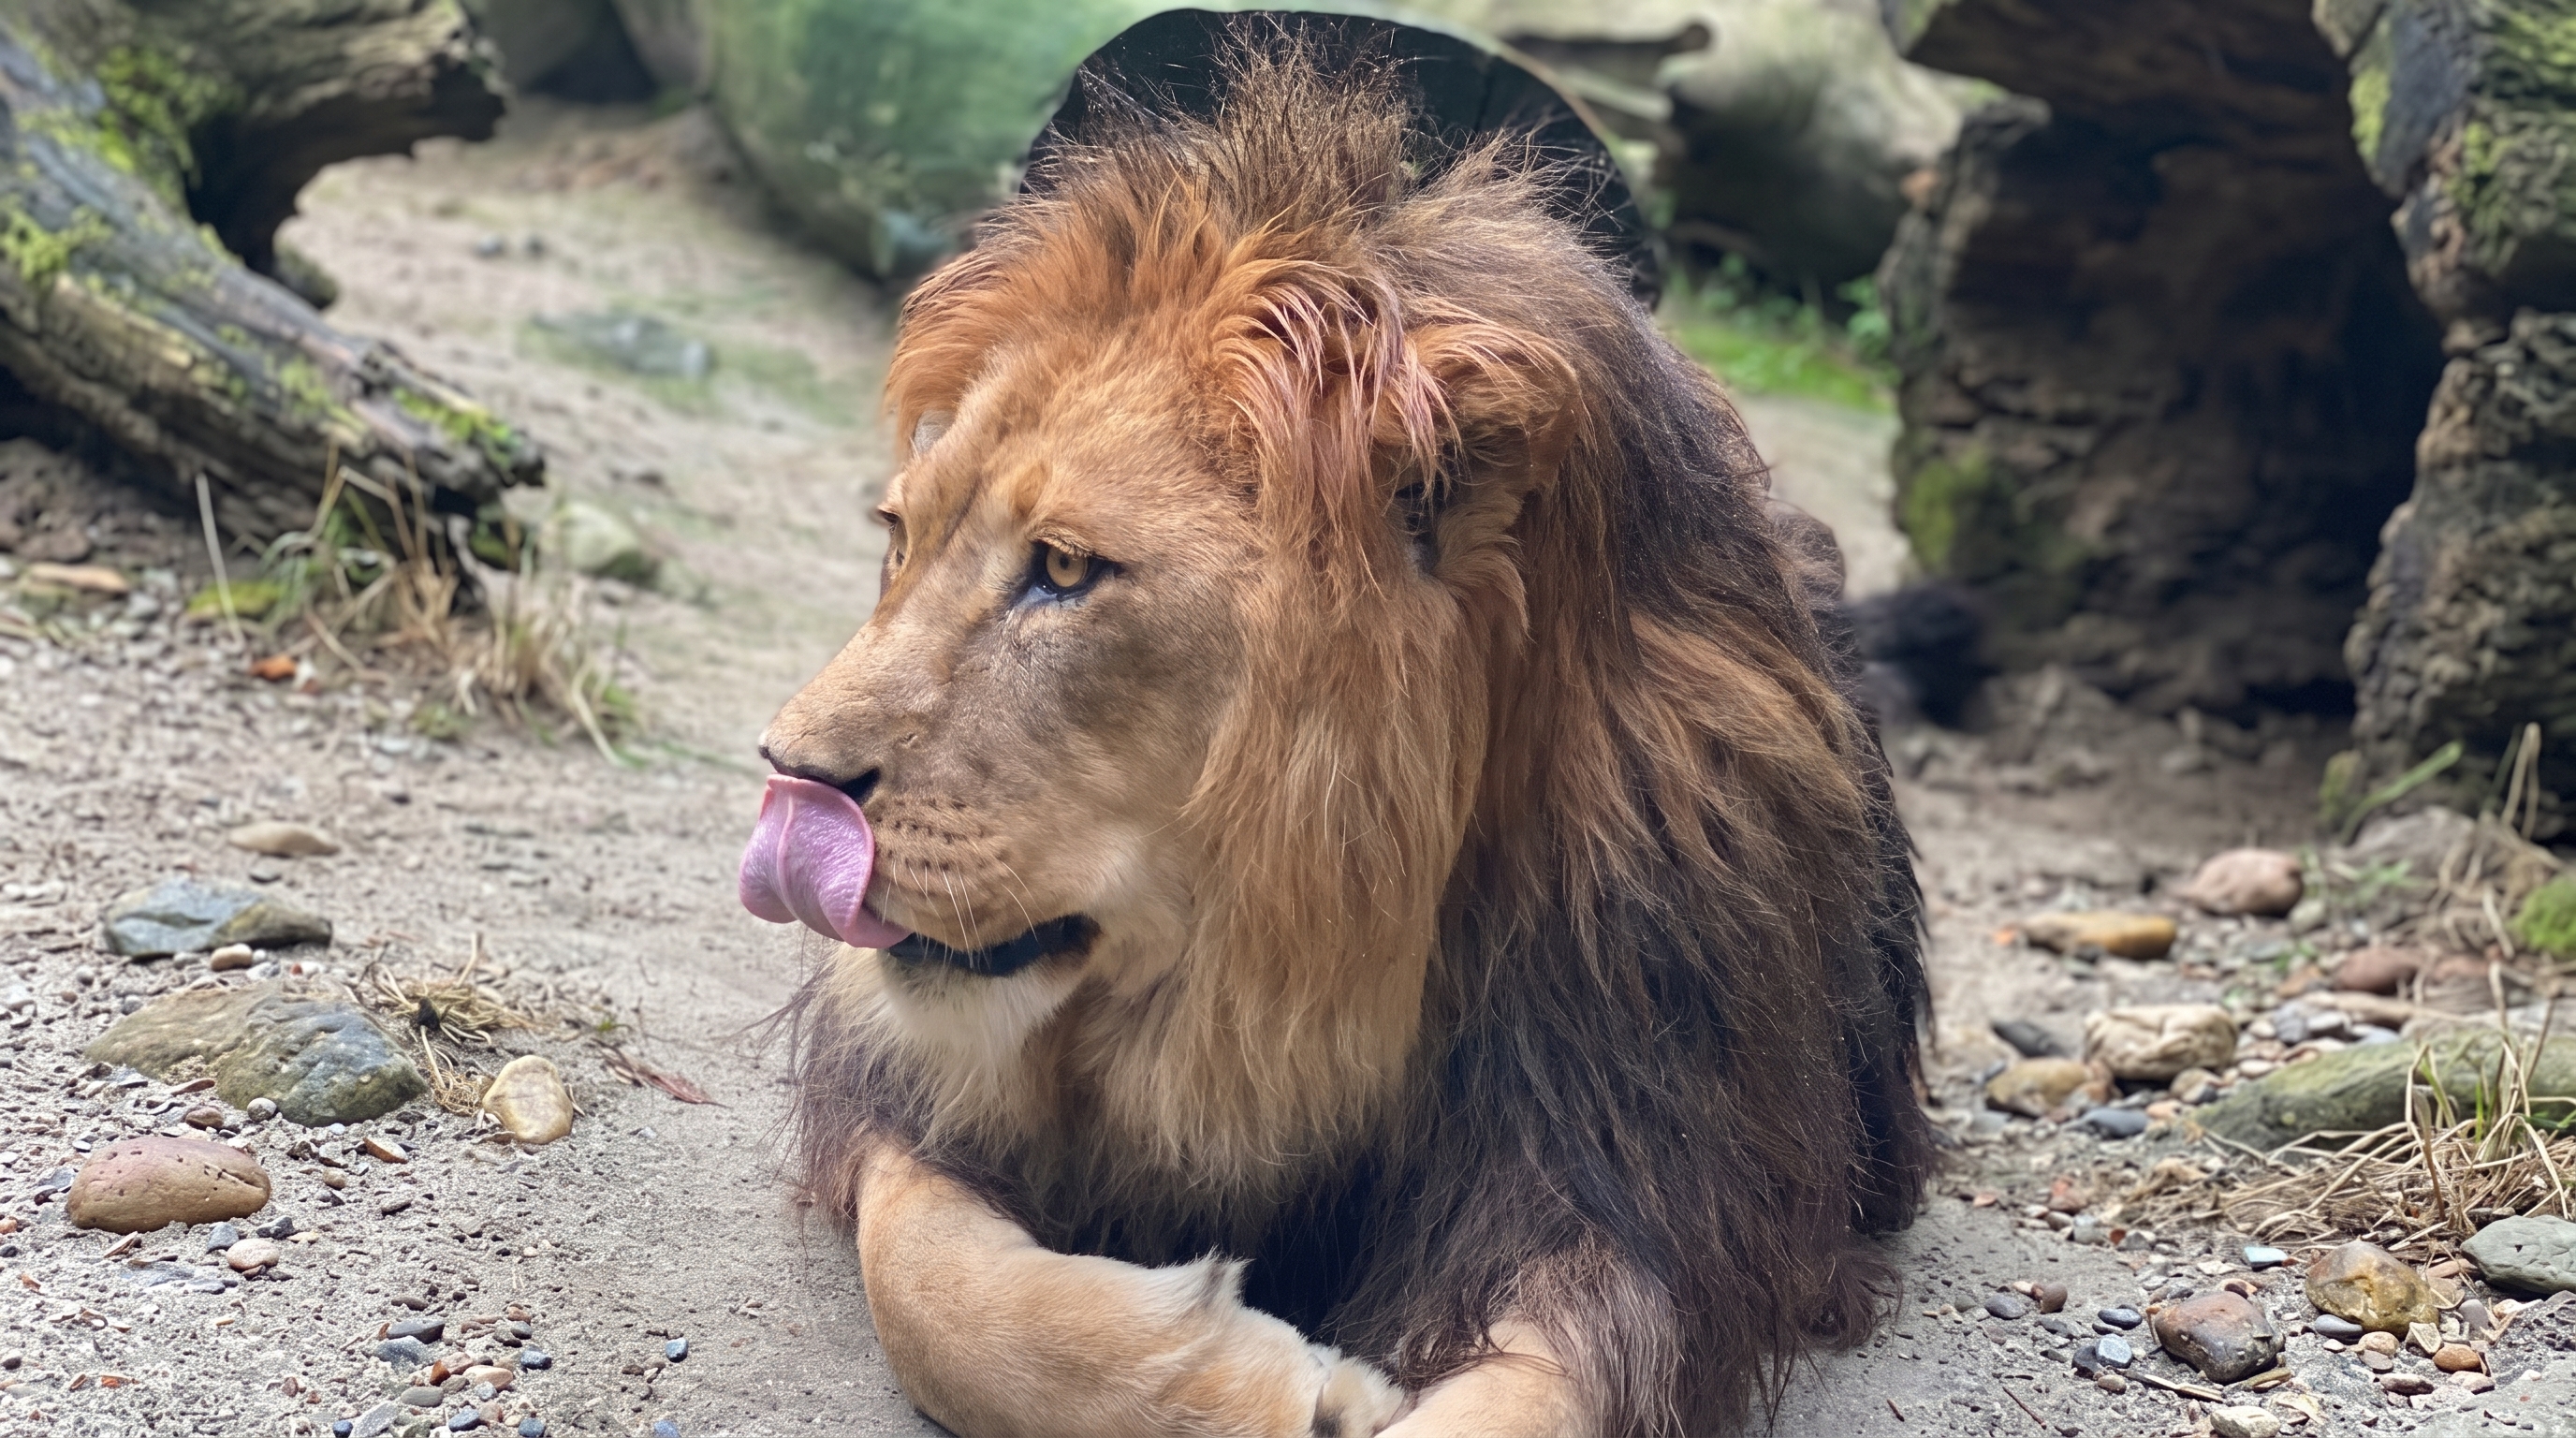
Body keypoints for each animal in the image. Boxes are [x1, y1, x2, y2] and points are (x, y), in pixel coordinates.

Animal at [753, 37, 1935, 1438]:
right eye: (899, 538)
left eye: (1064, 570)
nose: (788, 781)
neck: (1287, 982)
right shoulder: (907, 1103)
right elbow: (934, 1291)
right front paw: (1267, 1379)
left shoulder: (1637, 1175)